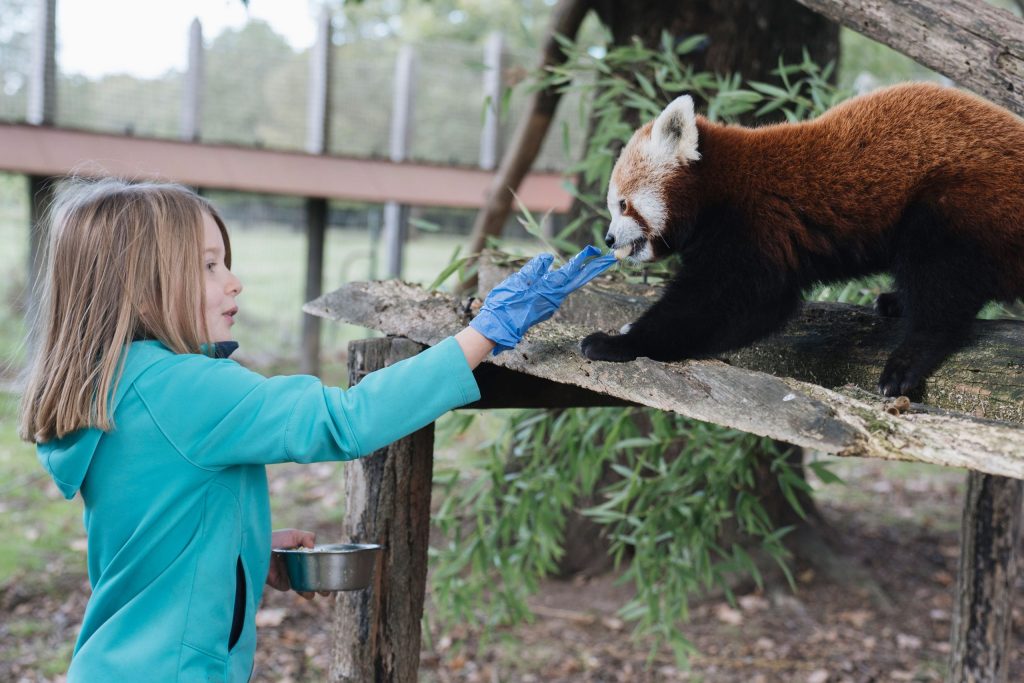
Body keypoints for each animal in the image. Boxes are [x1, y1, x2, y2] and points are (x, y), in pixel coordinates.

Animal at [581, 82, 1024, 397]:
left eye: (623, 204)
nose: (608, 238)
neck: (719, 188)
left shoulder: (756, 226)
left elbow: (729, 302)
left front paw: (619, 342)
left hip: (962, 199)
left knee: (939, 279)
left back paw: (908, 358)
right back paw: (895, 303)